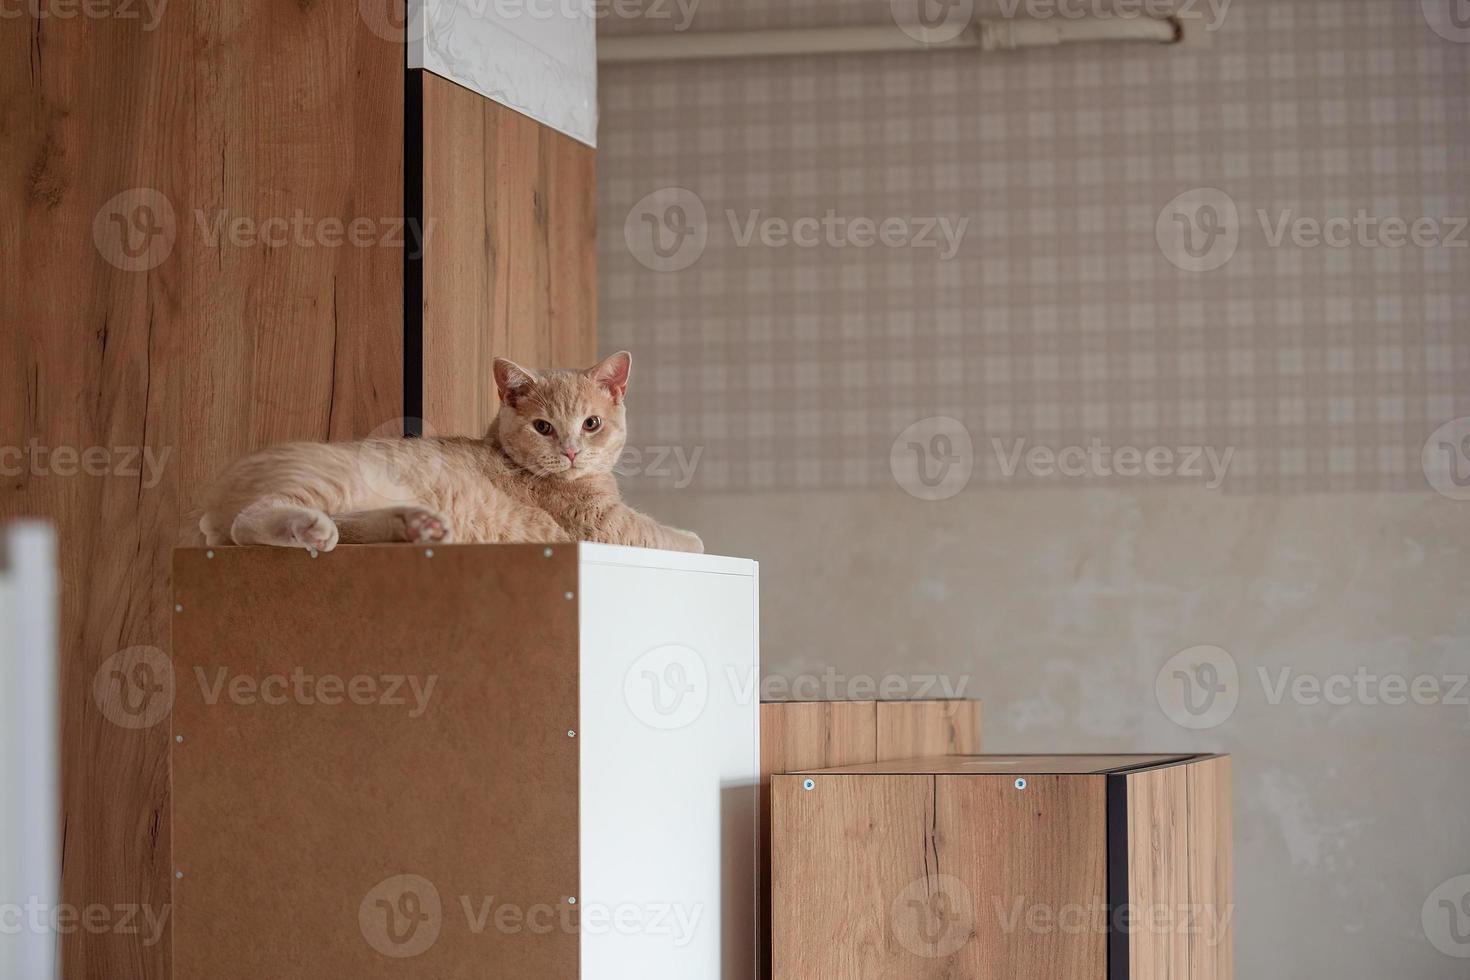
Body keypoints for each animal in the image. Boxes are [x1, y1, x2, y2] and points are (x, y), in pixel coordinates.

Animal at [196, 351, 705, 552]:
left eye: (591, 424)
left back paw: (415, 525)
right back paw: (311, 528)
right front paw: (694, 537)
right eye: (543, 427)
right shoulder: (602, 525)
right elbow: (658, 532)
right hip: (328, 481)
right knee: (249, 523)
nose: (571, 452)